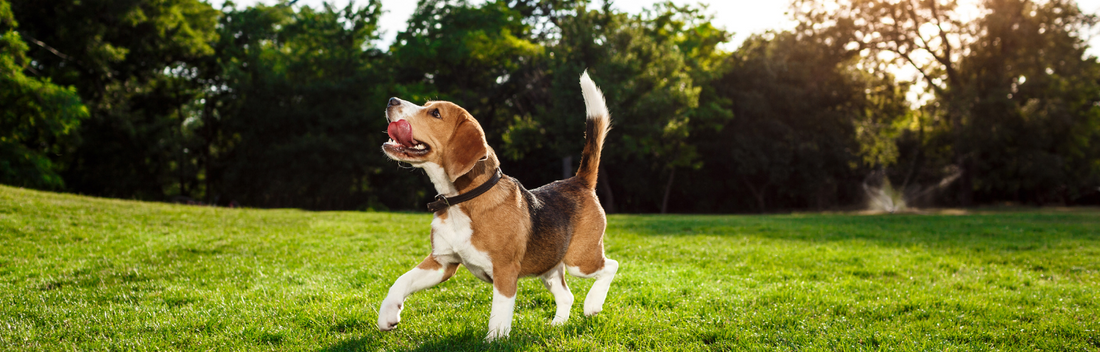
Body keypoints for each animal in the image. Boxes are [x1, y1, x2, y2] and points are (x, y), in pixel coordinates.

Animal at [378, 72, 620, 341]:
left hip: (581, 260)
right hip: (549, 267)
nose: (391, 100)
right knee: (566, 296)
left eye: (435, 113)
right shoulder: (442, 262)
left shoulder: (505, 271)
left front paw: (494, 340)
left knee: (611, 266)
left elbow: (499, 312)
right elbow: (401, 280)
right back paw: (557, 325)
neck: (461, 201)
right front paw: (387, 315)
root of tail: (579, 181)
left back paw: (593, 304)